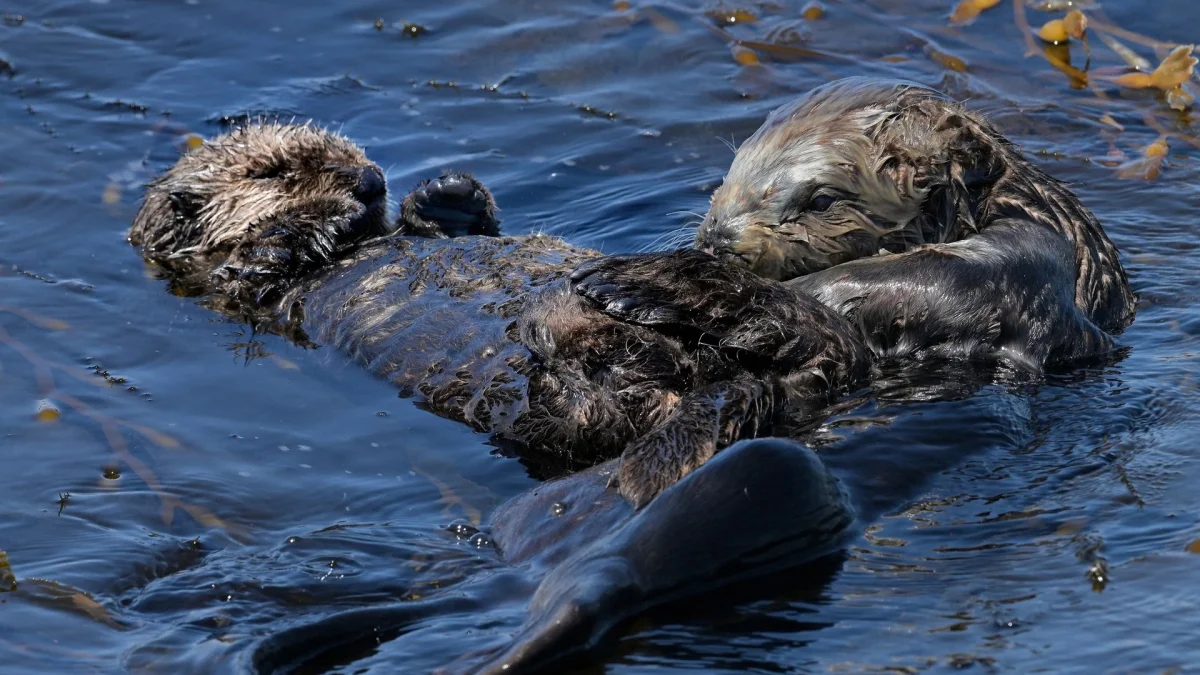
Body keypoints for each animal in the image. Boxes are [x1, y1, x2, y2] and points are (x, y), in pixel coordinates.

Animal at [129, 122, 870, 507]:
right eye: (279, 171)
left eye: (345, 152)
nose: (368, 178)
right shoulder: (239, 285)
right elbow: (259, 258)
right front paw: (326, 214)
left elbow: (454, 223)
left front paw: (443, 190)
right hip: (560, 414)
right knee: (586, 404)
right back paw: (577, 315)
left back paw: (631, 285)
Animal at [577, 78, 1135, 369]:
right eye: (727, 178)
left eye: (822, 199)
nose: (717, 240)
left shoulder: (1040, 245)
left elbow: (939, 278)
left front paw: (653, 282)